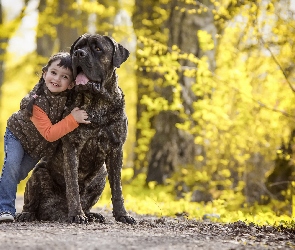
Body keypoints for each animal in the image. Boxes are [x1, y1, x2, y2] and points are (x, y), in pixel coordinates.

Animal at [16, 33, 136, 225]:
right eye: (78, 48)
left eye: (97, 48)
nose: (79, 54)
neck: (96, 103)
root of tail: (57, 214)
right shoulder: (72, 146)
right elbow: (72, 184)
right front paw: (77, 214)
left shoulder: (116, 148)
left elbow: (117, 188)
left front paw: (122, 215)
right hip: (38, 174)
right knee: (32, 203)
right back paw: (28, 214)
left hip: (101, 176)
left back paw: (92, 215)